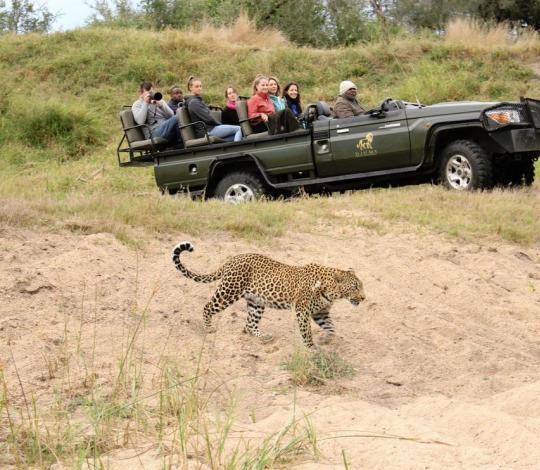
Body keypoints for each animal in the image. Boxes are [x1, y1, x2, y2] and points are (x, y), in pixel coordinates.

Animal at [173, 241, 368, 346]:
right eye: (355, 287)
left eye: (361, 286)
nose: (364, 298)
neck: (331, 291)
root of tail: (231, 260)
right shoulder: (302, 310)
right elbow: (306, 332)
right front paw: (312, 348)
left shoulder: (321, 312)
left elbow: (331, 328)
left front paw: (327, 339)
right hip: (229, 291)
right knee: (207, 307)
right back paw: (208, 328)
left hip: (256, 302)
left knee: (250, 325)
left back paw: (264, 337)